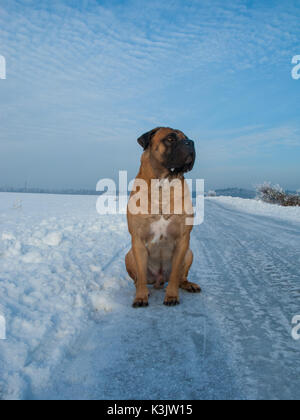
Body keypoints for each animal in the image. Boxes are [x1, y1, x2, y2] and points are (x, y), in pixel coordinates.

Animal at [125, 126, 200, 306]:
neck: (164, 183)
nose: (191, 142)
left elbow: (174, 275)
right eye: (170, 139)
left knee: (181, 278)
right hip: (129, 255)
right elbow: (141, 275)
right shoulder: (137, 239)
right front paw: (140, 297)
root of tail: (159, 280)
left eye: (186, 138)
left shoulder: (183, 239)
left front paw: (172, 296)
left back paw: (189, 285)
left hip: (189, 253)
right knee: (138, 278)